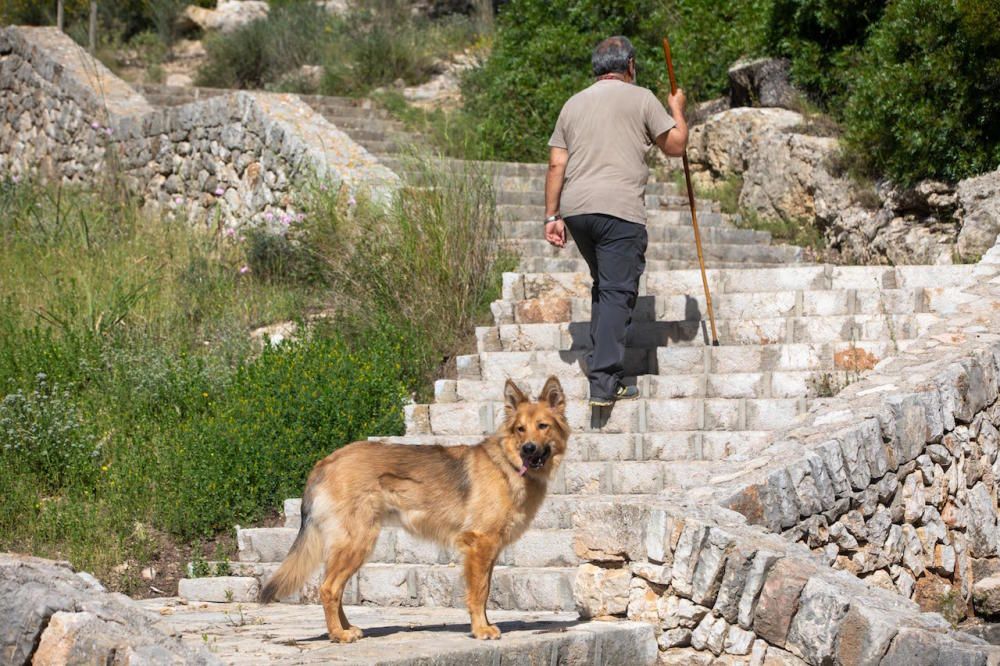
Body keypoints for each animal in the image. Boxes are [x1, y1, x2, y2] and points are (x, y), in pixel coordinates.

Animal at [260, 374, 572, 640]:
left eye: (542, 426)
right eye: (520, 429)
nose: (528, 449)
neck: (507, 464)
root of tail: (324, 462)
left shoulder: (488, 550)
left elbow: (484, 591)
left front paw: (483, 625)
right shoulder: (480, 545)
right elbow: (479, 592)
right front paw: (481, 630)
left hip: (350, 547)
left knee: (334, 588)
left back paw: (346, 628)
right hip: (357, 543)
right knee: (328, 588)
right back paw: (339, 634)